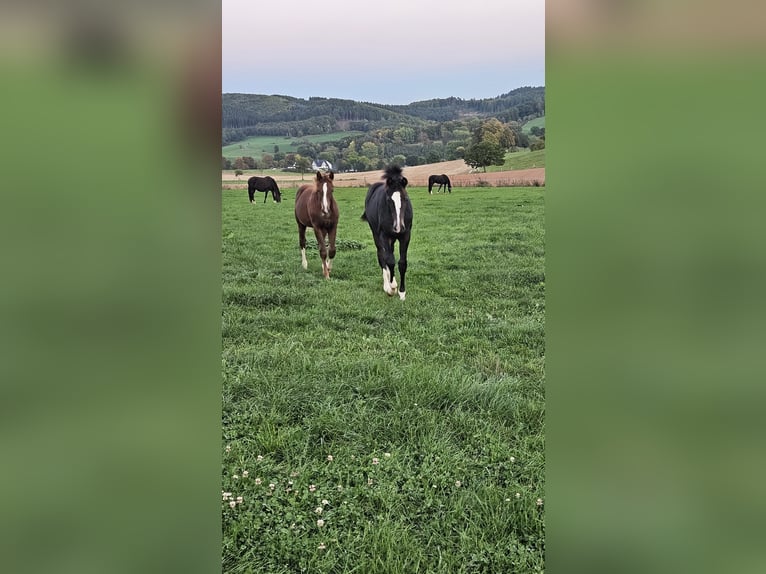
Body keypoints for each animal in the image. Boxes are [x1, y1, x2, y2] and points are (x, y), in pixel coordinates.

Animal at [361, 165, 413, 301]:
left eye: (405, 198)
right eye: (389, 200)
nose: (398, 227)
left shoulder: (405, 235)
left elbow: (402, 263)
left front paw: (402, 292)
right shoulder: (384, 235)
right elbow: (389, 260)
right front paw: (392, 288)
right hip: (377, 235)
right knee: (382, 256)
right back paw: (387, 285)